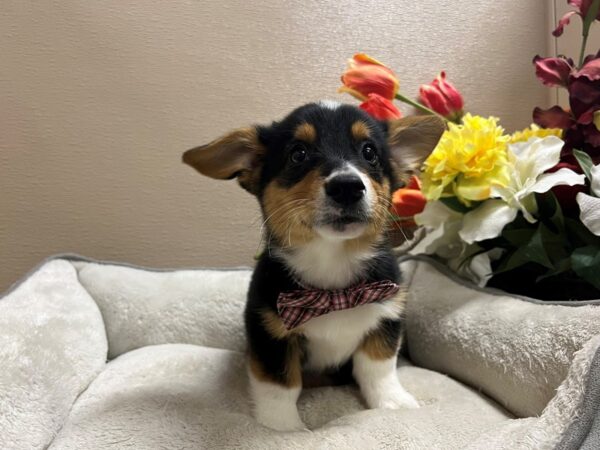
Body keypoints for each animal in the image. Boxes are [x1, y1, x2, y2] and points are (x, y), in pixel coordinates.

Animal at [183, 100, 446, 430]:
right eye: (298, 154)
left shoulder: (386, 318)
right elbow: (280, 387)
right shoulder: (270, 334)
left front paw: (392, 403)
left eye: (369, 152)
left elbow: (377, 369)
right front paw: (284, 428)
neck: (332, 270)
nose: (347, 186)